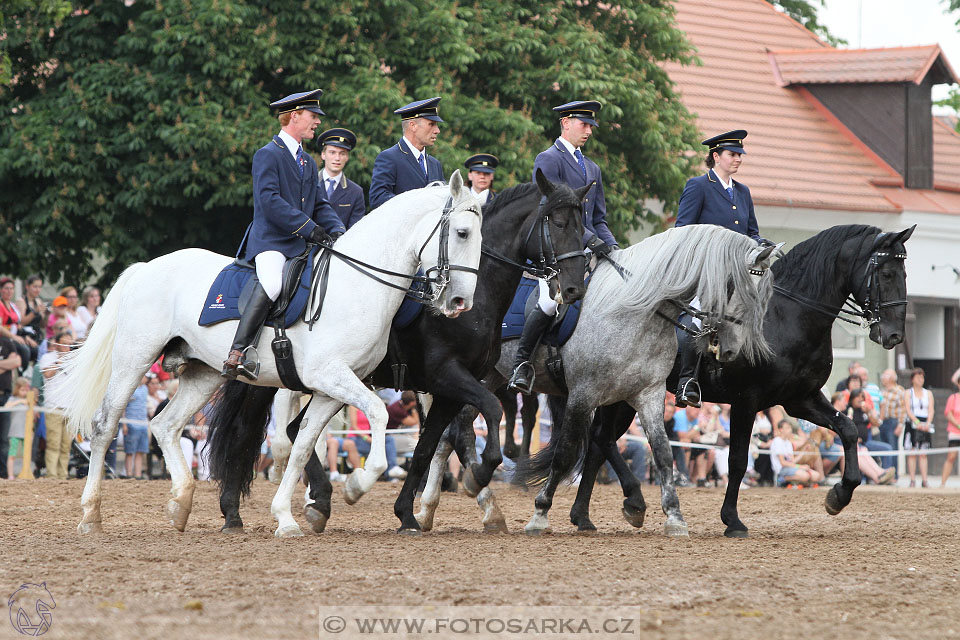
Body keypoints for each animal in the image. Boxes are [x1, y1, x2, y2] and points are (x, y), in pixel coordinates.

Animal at [54, 172, 480, 536]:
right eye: (461, 233)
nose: (460, 303)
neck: (358, 284)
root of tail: (145, 268)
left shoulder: (331, 389)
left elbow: (302, 444)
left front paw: (287, 518)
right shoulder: (331, 375)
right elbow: (375, 413)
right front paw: (357, 485)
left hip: (205, 372)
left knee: (165, 425)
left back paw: (180, 504)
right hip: (134, 359)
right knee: (106, 424)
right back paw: (91, 516)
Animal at [206, 172, 588, 532]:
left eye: (581, 226)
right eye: (557, 223)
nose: (573, 288)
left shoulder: (448, 389)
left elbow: (425, 449)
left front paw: (408, 513)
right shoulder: (447, 376)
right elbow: (487, 414)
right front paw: (476, 480)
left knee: (293, 429)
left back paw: (317, 503)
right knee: (247, 432)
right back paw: (236, 511)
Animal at [416, 225, 776, 536]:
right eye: (739, 287)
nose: (730, 350)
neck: (635, 311)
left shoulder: (647, 395)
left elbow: (662, 453)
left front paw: (673, 516)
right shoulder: (583, 395)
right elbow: (565, 452)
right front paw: (540, 514)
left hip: (489, 376)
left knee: (453, 432)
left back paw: (450, 506)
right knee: (452, 432)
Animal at [564, 222, 916, 536]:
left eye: (904, 273)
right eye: (886, 274)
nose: (894, 335)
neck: (787, 317)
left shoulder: (800, 399)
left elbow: (849, 429)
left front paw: (839, 495)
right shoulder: (747, 400)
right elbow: (738, 459)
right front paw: (732, 521)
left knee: (597, 443)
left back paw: (585, 517)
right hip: (622, 394)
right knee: (601, 438)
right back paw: (627, 503)